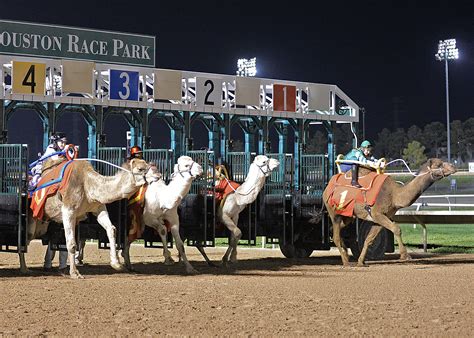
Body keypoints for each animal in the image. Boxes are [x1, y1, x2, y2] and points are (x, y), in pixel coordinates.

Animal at [20, 157, 148, 278]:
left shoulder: (98, 207)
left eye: (149, 166)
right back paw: (25, 269)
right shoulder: (68, 209)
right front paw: (75, 273)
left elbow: (111, 229)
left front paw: (116, 264)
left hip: (43, 223)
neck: (87, 183)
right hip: (33, 218)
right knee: (26, 238)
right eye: (140, 169)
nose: (154, 177)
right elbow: (71, 244)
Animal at [312, 158, 456, 266]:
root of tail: (327, 188)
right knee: (336, 234)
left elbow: (369, 239)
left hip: (347, 215)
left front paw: (361, 262)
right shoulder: (378, 214)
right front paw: (405, 255)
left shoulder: (379, 218)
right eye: (439, 164)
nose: (453, 167)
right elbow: (396, 228)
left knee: (335, 230)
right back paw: (346, 262)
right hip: (334, 212)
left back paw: (346, 255)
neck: (395, 195)